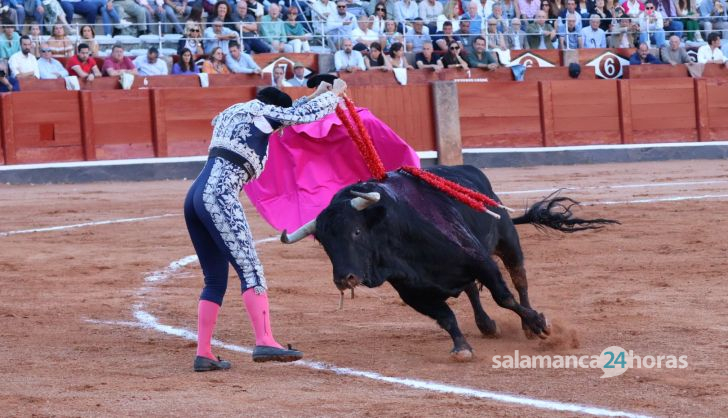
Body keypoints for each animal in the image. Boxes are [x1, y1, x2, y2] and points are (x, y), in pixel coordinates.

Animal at [282, 165, 616, 360]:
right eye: (324, 243)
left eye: (355, 230)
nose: (344, 278)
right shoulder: (412, 292)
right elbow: (445, 317)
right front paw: (462, 347)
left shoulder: (481, 260)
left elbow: (504, 297)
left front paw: (538, 323)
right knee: (470, 290)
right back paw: (486, 326)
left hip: (508, 241)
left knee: (519, 281)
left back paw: (528, 326)